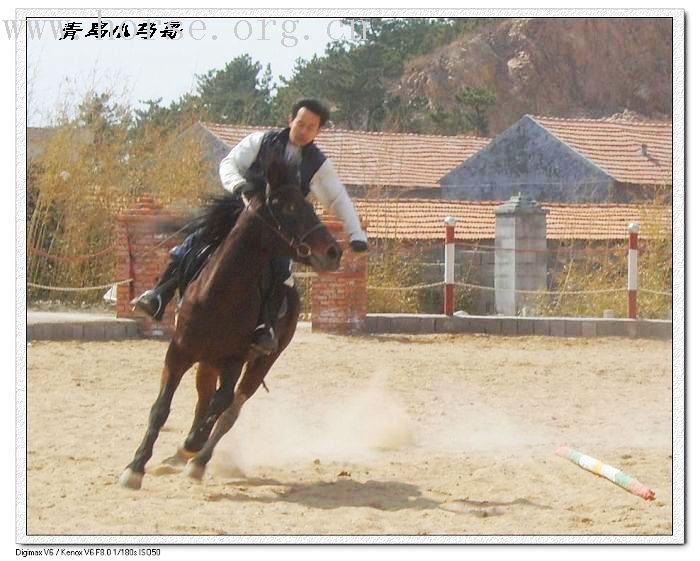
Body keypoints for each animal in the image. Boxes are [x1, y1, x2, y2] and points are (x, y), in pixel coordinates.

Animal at [119, 160, 344, 488]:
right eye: (289, 207)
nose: (333, 252)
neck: (220, 294)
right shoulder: (178, 353)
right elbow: (161, 409)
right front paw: (135, 467)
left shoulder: (234, 361)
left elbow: (220, 405)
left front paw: (193, 448)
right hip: (205, 361)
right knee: (203, 401)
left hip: (260, 363)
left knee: (228, 412)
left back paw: (197, 459)